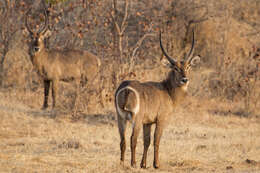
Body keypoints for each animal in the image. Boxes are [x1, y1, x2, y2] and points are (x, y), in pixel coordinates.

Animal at [115, 29, 200, 168]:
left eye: (188, 67)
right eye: (175, 68)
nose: (185, 79)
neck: (168, 90)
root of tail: (126, 88)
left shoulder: (148, 122)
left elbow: (147, 141)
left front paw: (143, 164)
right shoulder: (161, 119)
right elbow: (156, 140)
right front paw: (156, 164)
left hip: (120, 117)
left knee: (122, 140)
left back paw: (122, 163)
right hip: (135, 119)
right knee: (133, 139)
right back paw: (133, 163)